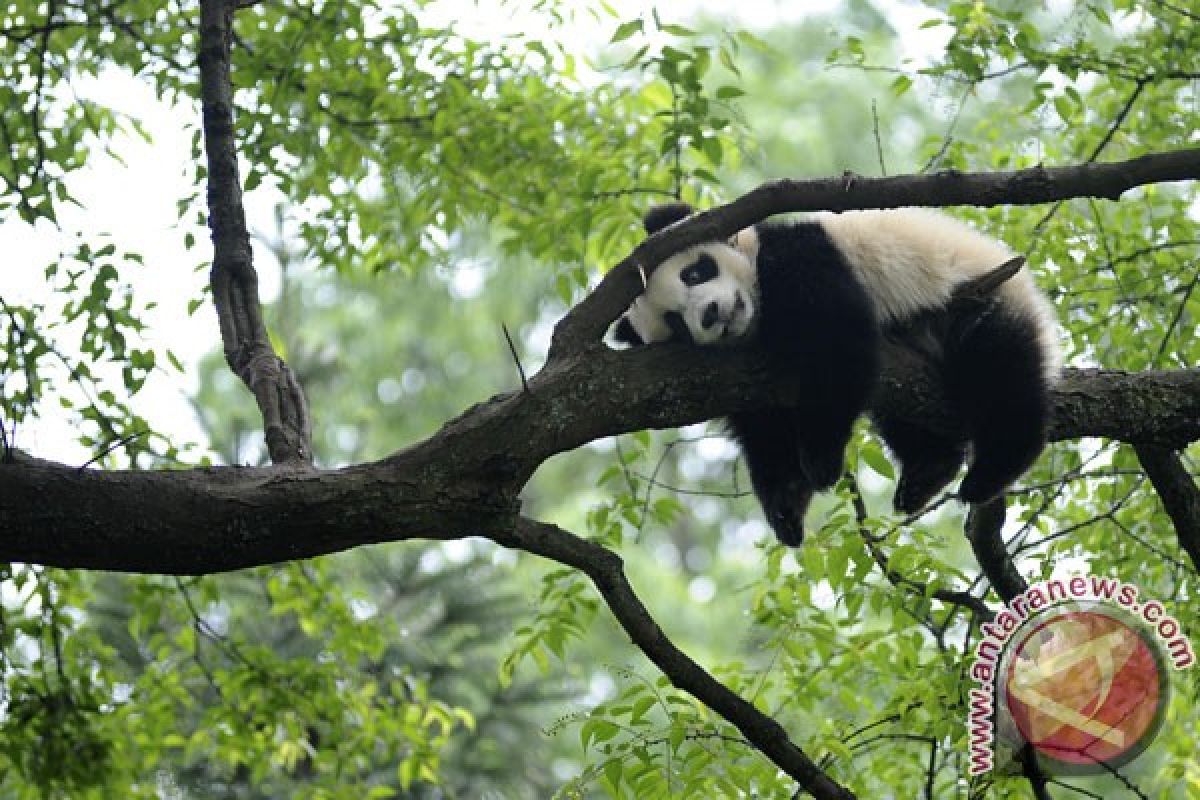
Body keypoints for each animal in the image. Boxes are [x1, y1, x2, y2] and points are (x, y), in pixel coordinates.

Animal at [619, 203, 1060, 546]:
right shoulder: (742, 376)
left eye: (695, 273)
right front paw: (786, 504)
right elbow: (765, 430)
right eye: (675, 323)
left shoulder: (799, 257)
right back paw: (927, 470)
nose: (711, 314)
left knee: (1000, 373)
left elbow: (837, 343)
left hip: (981, 300)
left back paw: (992, 470)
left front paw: (821, 460)